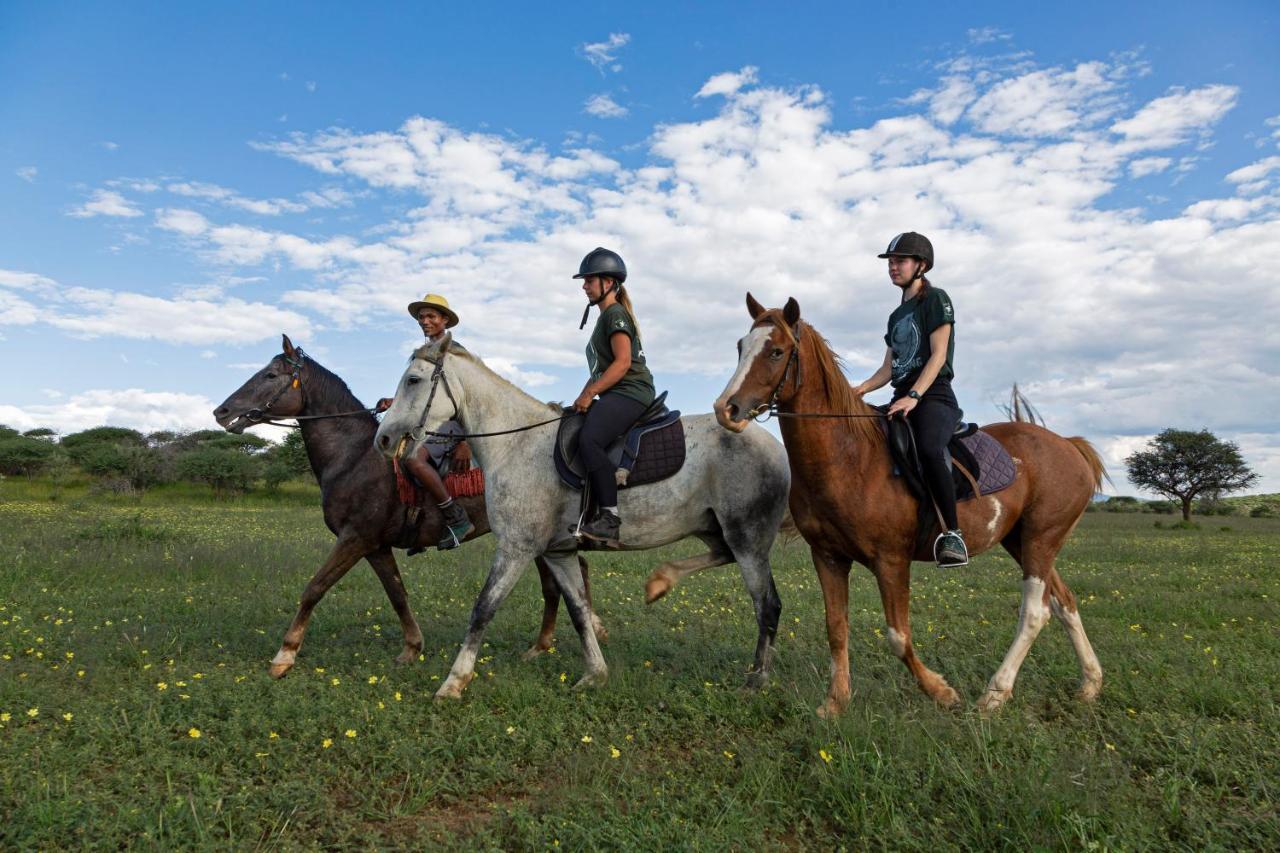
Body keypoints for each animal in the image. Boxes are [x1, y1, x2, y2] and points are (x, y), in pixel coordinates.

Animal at [215, 335, 599, 676]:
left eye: (270, 375)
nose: (222, 411)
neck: (354, 457)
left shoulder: (355, 539)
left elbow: (314, 588)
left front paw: (285, 655)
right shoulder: (375, 546)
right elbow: (397, 594)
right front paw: (412, 647)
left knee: (558, 582)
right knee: (563, 578)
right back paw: (558, 639)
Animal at [373, 333, 788, 696]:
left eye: (413, 380)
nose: (383, 439)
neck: (516, 443)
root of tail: (774, 446)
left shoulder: (516, 548)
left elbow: (483, 609)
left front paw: (453, 683)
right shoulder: (559, 553)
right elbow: (578, 610)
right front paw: (594, 674)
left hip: (748, 540)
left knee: (767, 605)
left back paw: (757, 680)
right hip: (715, 529)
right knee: (722, 557)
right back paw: (660, 582)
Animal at [716, 295, 1105, 712]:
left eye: (776, 351)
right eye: (740, 347)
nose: (727, 409)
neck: (849, 457)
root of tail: (1070, 446)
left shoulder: (890, 561)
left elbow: (898, 637)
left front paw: (941, 691)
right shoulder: (828, 557)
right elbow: (836, 628)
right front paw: (835, 702)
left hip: (1039, 539)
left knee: (1035, 611)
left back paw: (994, 694)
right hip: (1021, 540)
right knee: (1064, 602)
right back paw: (1090, 683)